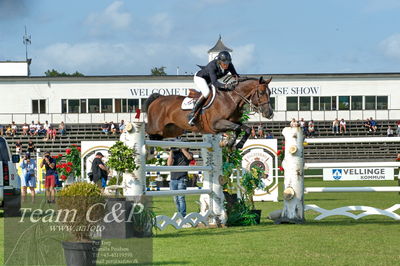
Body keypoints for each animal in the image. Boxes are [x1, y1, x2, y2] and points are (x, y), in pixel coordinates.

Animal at [145, 76, 274, 150]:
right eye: (261, 93)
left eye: (270, 92)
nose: (270, 114)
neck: (231, 99)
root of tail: (158, 98)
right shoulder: (216, 123)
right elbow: (237, 128)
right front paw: (230, 143)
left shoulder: (232, 122)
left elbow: (246, 129)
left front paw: (238, 145)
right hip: (156, 128)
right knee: (148, 134)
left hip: (171, 130)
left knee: (157, 137)